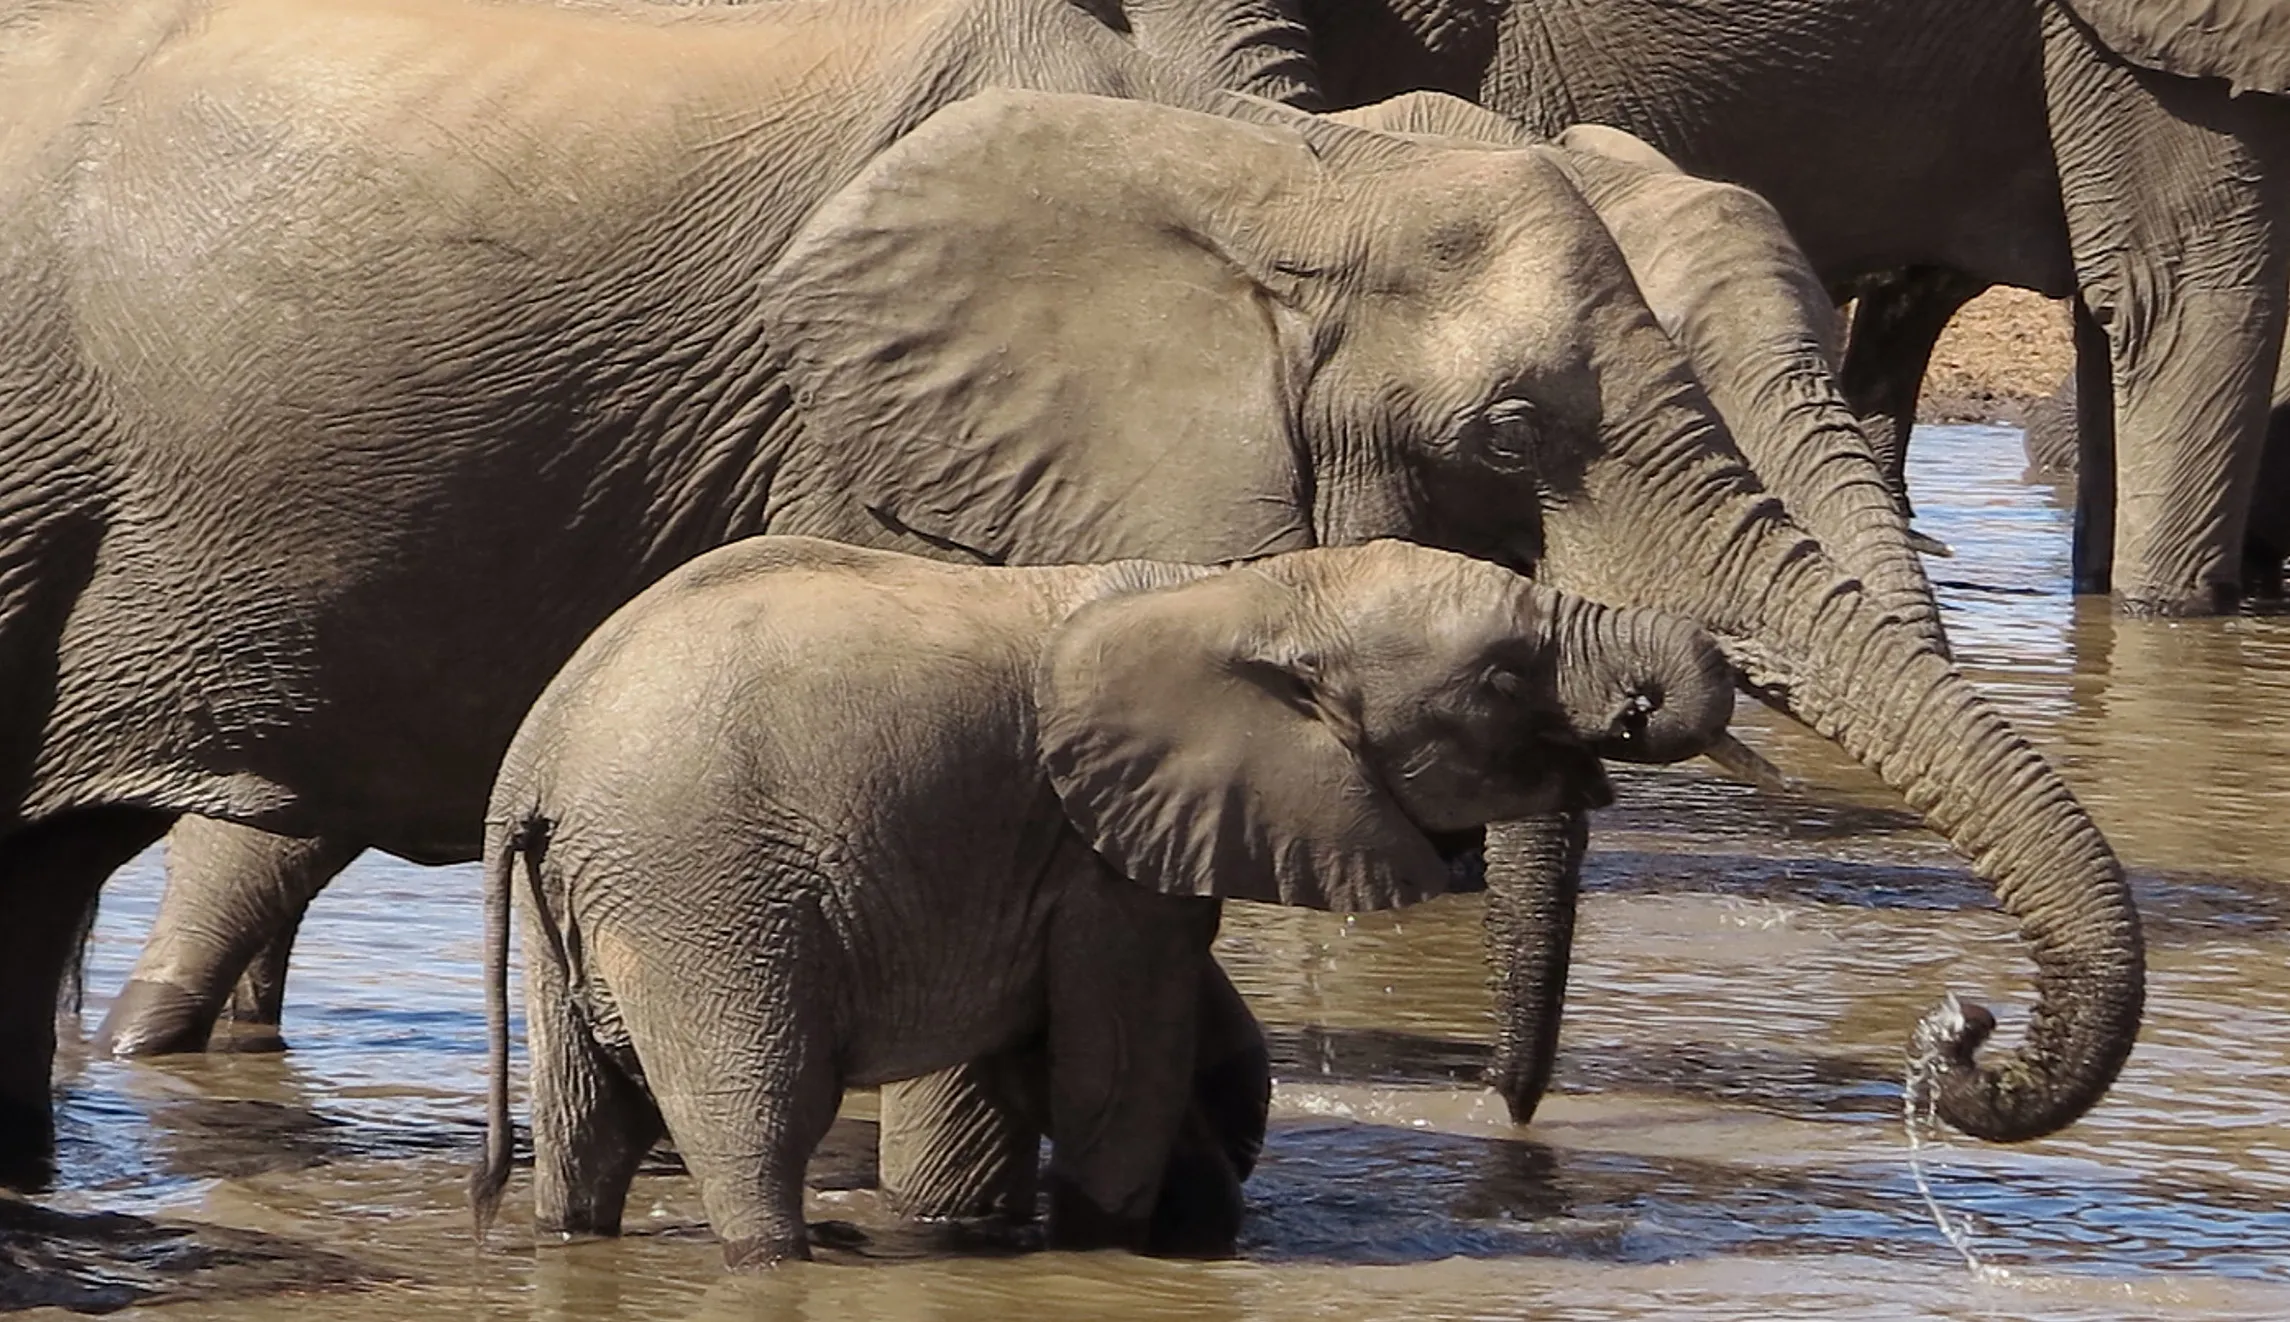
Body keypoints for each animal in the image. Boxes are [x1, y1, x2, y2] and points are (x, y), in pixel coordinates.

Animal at [465, 535, 1738, 1265]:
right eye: (1506, 676)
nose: (1630, 711)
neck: (1255, 592)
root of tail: (531, 768)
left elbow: (1101, 1057)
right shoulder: (1098, 852)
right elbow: (1114, 1073)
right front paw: (1115, 1245)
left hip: (596, 900)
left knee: (587, 1131)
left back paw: (572, 1234)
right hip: (703, 893)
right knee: (754, 1114)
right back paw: (784, 1254)